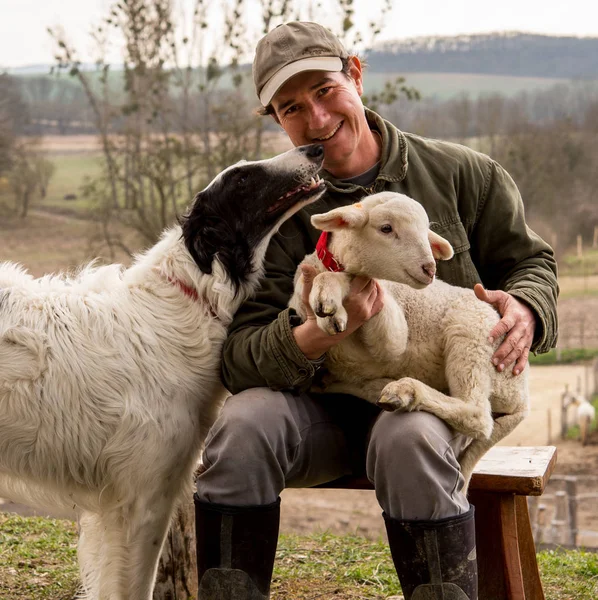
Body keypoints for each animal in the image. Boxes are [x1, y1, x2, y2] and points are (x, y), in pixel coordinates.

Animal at [290, 192, 528, 488]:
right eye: (386, 228)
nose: (430, 268)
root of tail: (522, 398)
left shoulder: (391, 329)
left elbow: (355, 288)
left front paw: (329, 293)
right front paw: (327, 304)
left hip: (472, 334)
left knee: (476, 414)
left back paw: (406, 391)